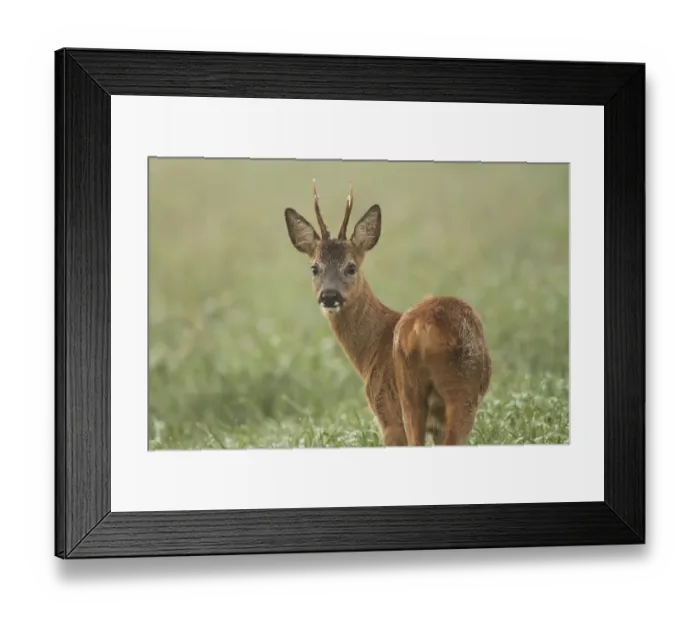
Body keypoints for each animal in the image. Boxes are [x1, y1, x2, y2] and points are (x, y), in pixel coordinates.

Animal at [283, 180, 492, 447]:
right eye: (314, 268)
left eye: (351, 267)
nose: (329, 296)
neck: (371, 350)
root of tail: (429, 326)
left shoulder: (385, 410)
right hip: (465, 388)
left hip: (410, 394)